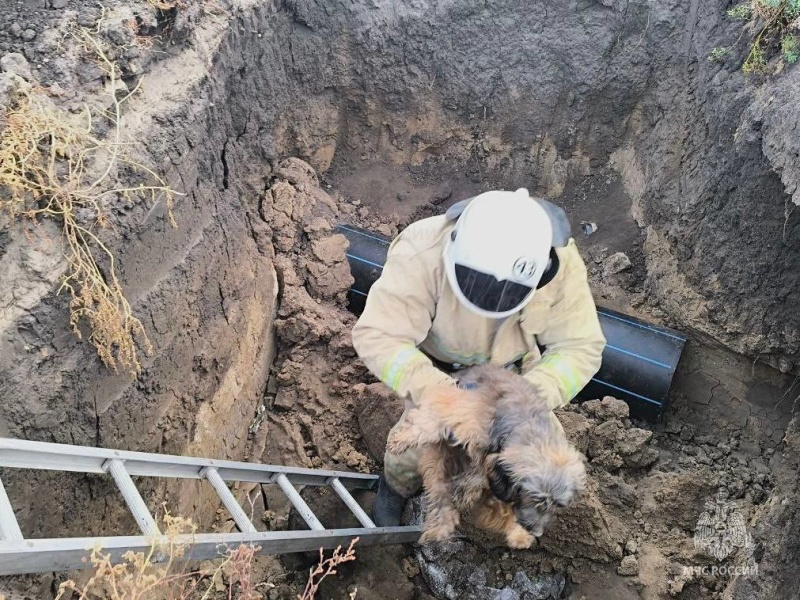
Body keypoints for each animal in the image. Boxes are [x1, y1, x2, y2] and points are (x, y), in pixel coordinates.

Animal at [384, 366, 584, 548]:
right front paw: (402, 439)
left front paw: (520, 535)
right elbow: (429, 424)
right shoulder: (458, 408)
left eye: (557, 505)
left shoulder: (499, 485)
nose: (537, 532)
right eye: (535, 499)